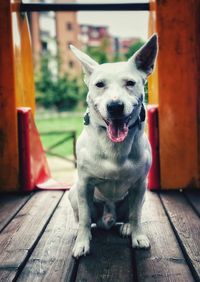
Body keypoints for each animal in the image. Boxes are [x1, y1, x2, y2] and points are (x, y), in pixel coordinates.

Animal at [68, 34, 158, 258]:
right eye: (99, 84)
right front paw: (82, 243)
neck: (114, 146)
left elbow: (136, 215)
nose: (115, 106)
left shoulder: (140, 185)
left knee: (130, 214)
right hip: (73, 193)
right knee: (86, 219)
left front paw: (137, 236)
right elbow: (84, 219)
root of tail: (108, 219)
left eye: (130, 83)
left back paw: (125, 227)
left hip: (141, 196)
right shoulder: (84, 185)